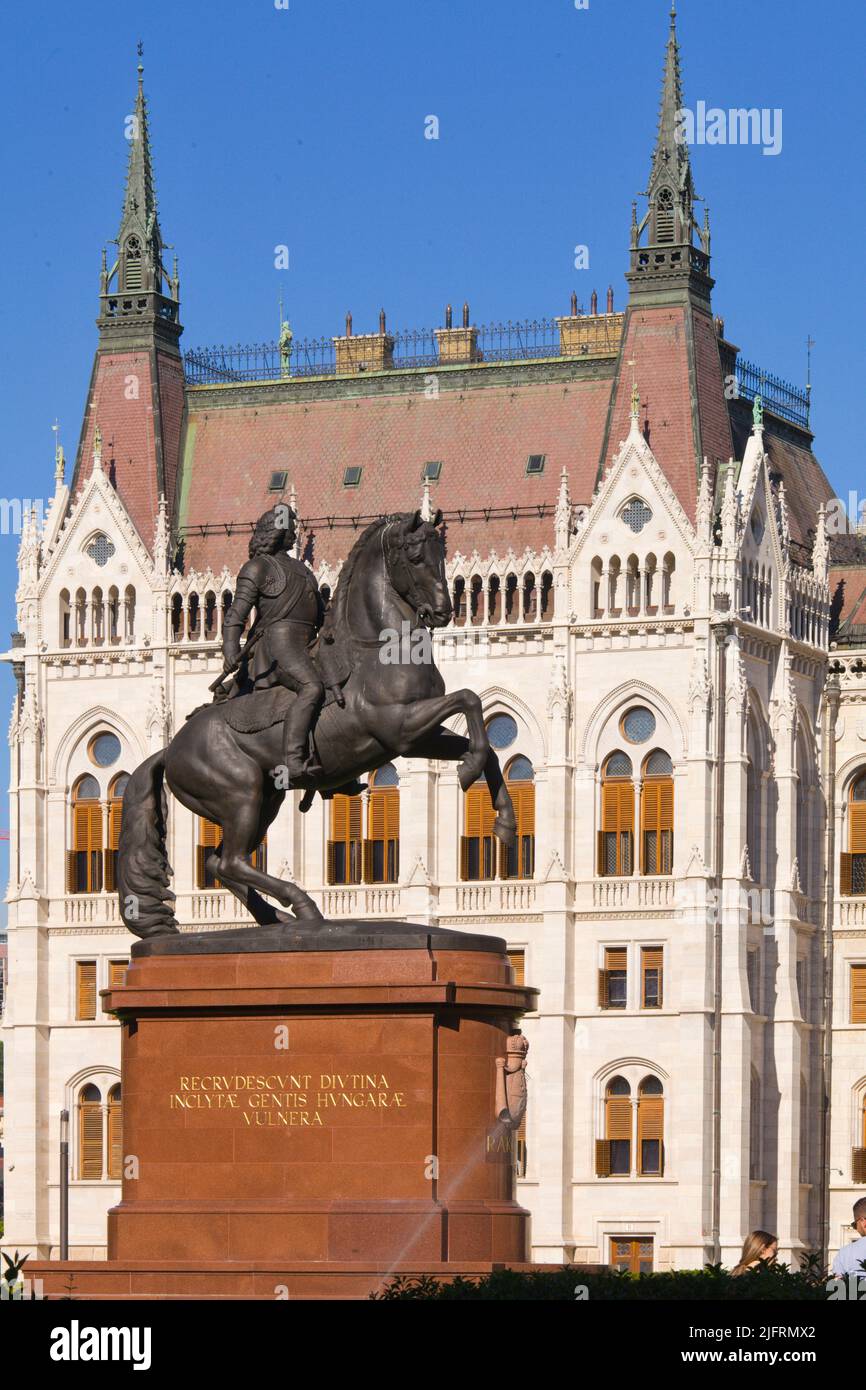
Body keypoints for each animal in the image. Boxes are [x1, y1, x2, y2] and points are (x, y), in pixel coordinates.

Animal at [119, 505, 517, 939]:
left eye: (441, 555)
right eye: (415, 557)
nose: (444, 612)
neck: (376, 649)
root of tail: (170, 747)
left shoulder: (420, 737)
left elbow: (488, 743)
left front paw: (504, 822)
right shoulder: (399, 727)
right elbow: (470, 699)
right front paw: (470, 769)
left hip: (264, 801)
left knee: (222, 864)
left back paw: (277, 918)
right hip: (240, 793)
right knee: (230, 862)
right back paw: (301, 905)